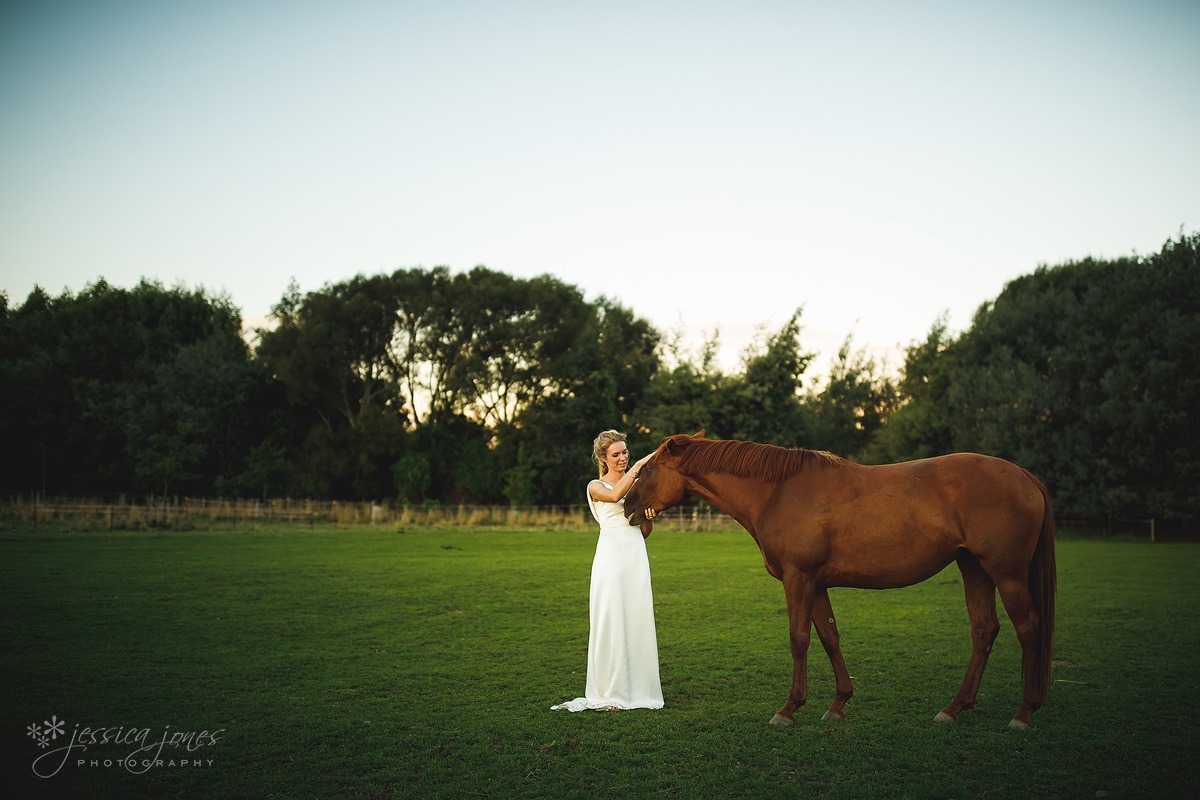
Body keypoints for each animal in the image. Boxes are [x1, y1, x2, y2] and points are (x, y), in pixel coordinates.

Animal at [624, 434, 1056, 729]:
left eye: (647, 469)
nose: (627, 506)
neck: (778, 492)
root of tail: (1025, 476)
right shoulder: (816, 584)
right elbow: (830, 637)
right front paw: (838, 704)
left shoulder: (798, 578)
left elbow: (799, 639)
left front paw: (789, 709)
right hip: (974, 569)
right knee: (984, 630)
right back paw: (954, 708)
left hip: (1006, 574)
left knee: (1028, 628)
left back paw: (1024, 712)